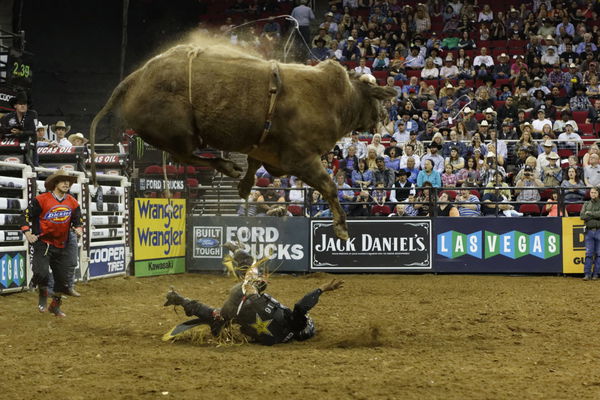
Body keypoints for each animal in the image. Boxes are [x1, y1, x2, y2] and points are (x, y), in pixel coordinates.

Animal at [89, 40, 396, 239]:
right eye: (374, 97)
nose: (383, 115)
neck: (336, 98)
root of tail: (137, 77)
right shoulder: (302, 159)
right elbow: (329, 187)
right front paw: (341, 228)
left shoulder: (270, 152)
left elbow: (254, 161)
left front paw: (245, 185)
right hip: (177, 132)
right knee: (186, 153)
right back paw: (226, 166)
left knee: (185, 154)